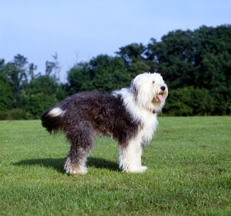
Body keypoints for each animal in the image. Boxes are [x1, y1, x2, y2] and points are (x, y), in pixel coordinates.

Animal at [40, 72, 168, 176]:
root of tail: (66, 105)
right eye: (153, 82)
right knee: (77, 153)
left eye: (161, 81)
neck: (140, 102)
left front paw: (138, 168)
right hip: (82, 132)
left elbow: (136, 153)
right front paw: (132, 170)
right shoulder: (131, 135)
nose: (163, 87)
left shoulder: (139, 138)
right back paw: (77, 171)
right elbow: (130, 153)